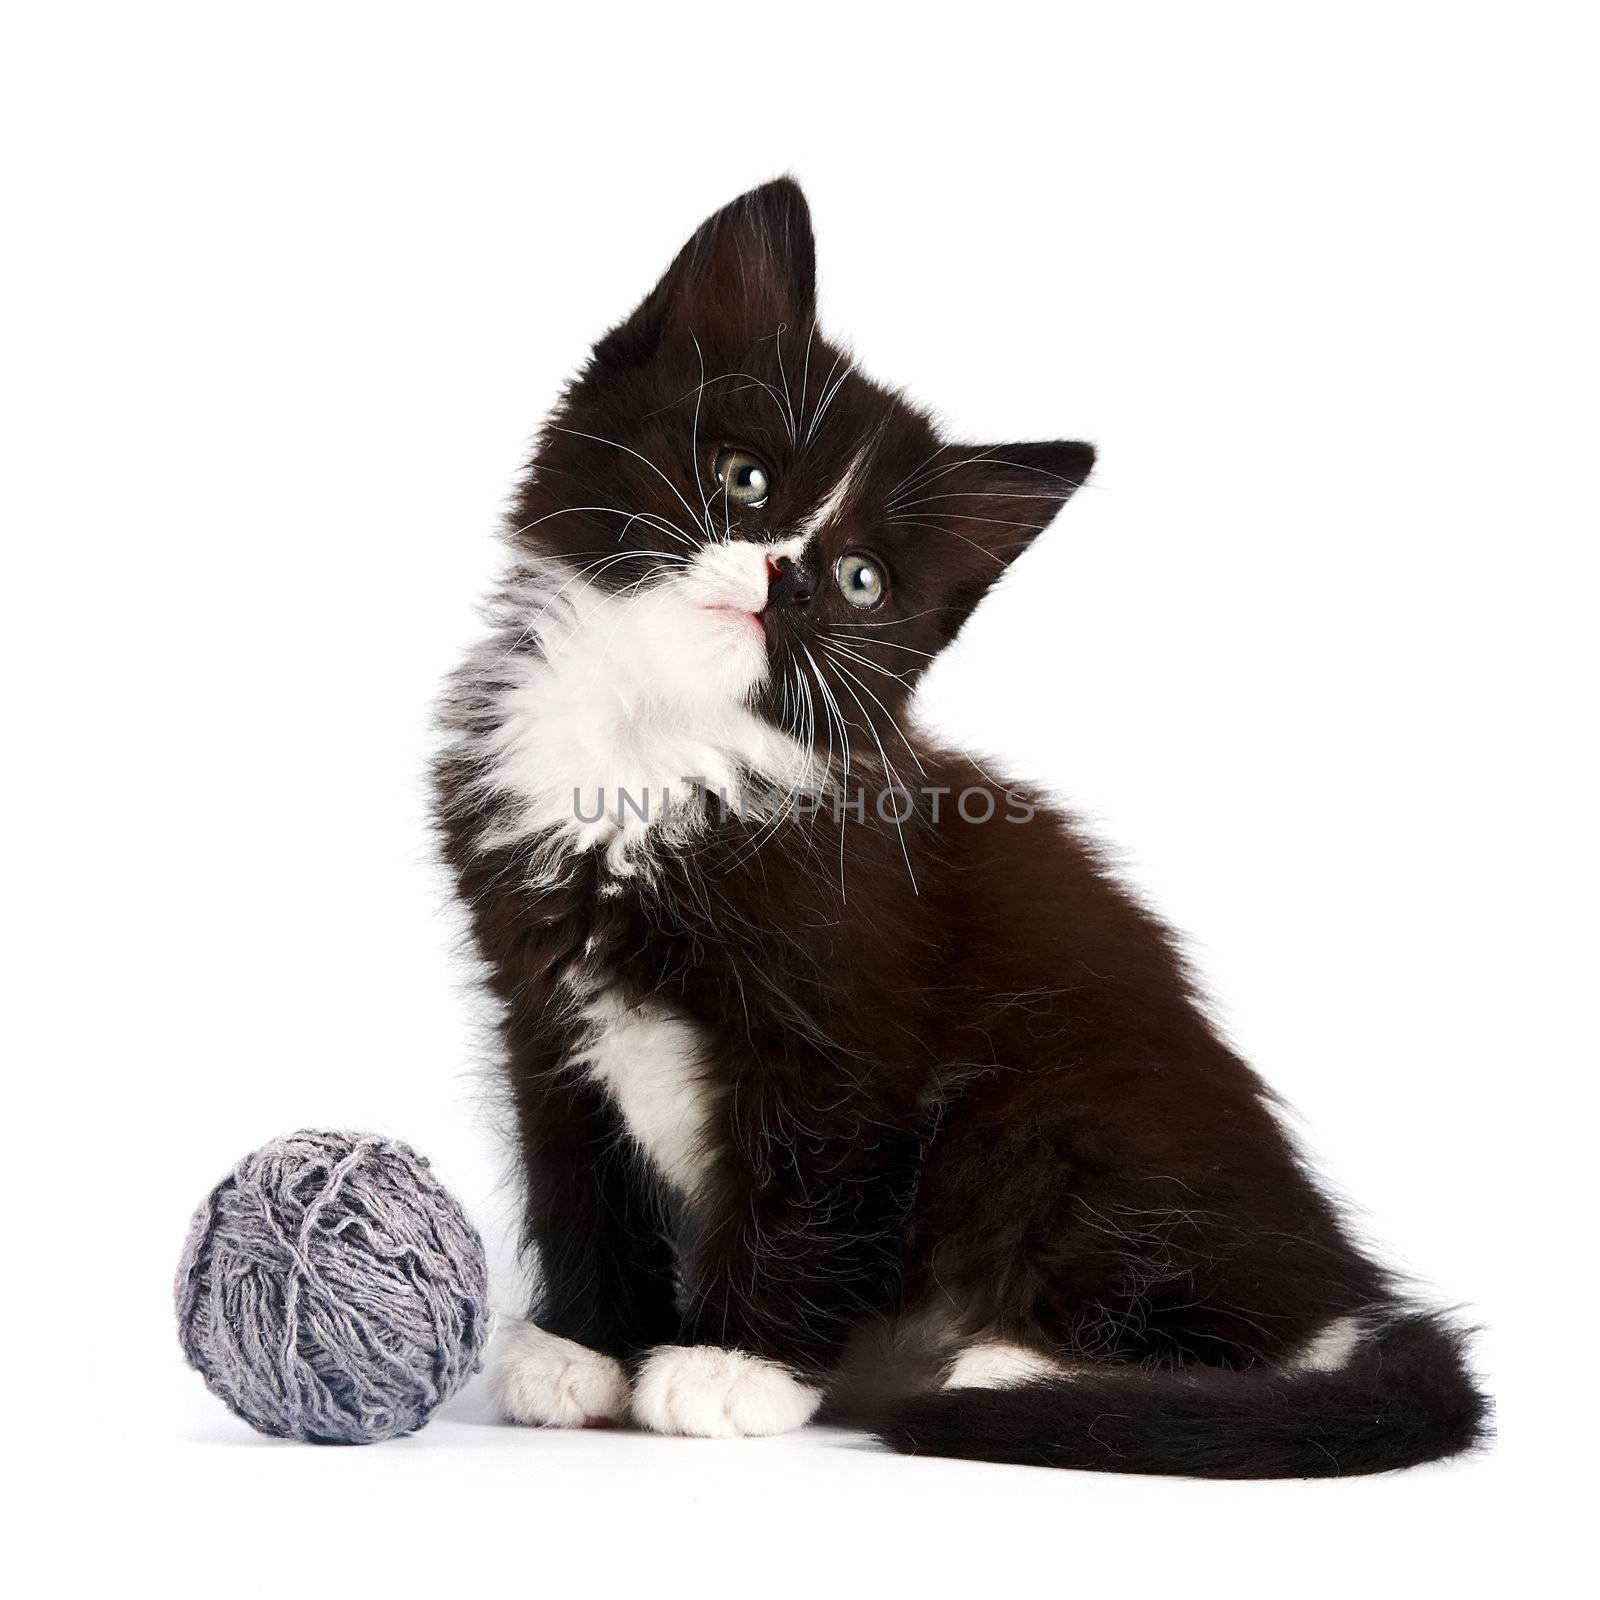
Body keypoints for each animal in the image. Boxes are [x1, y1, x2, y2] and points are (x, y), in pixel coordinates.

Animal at [435, 175, 1484, 1472]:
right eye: (743, 479)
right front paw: (582, 1348)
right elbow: (573, 1171)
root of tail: (1338, 1284)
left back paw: (999, 1367)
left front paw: (733, 1365)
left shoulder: (850, 1022)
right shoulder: (540, 1002)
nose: (784, 577)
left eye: (861, 583)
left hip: (1051, 1116)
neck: (653, 756)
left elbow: (805, 1184)